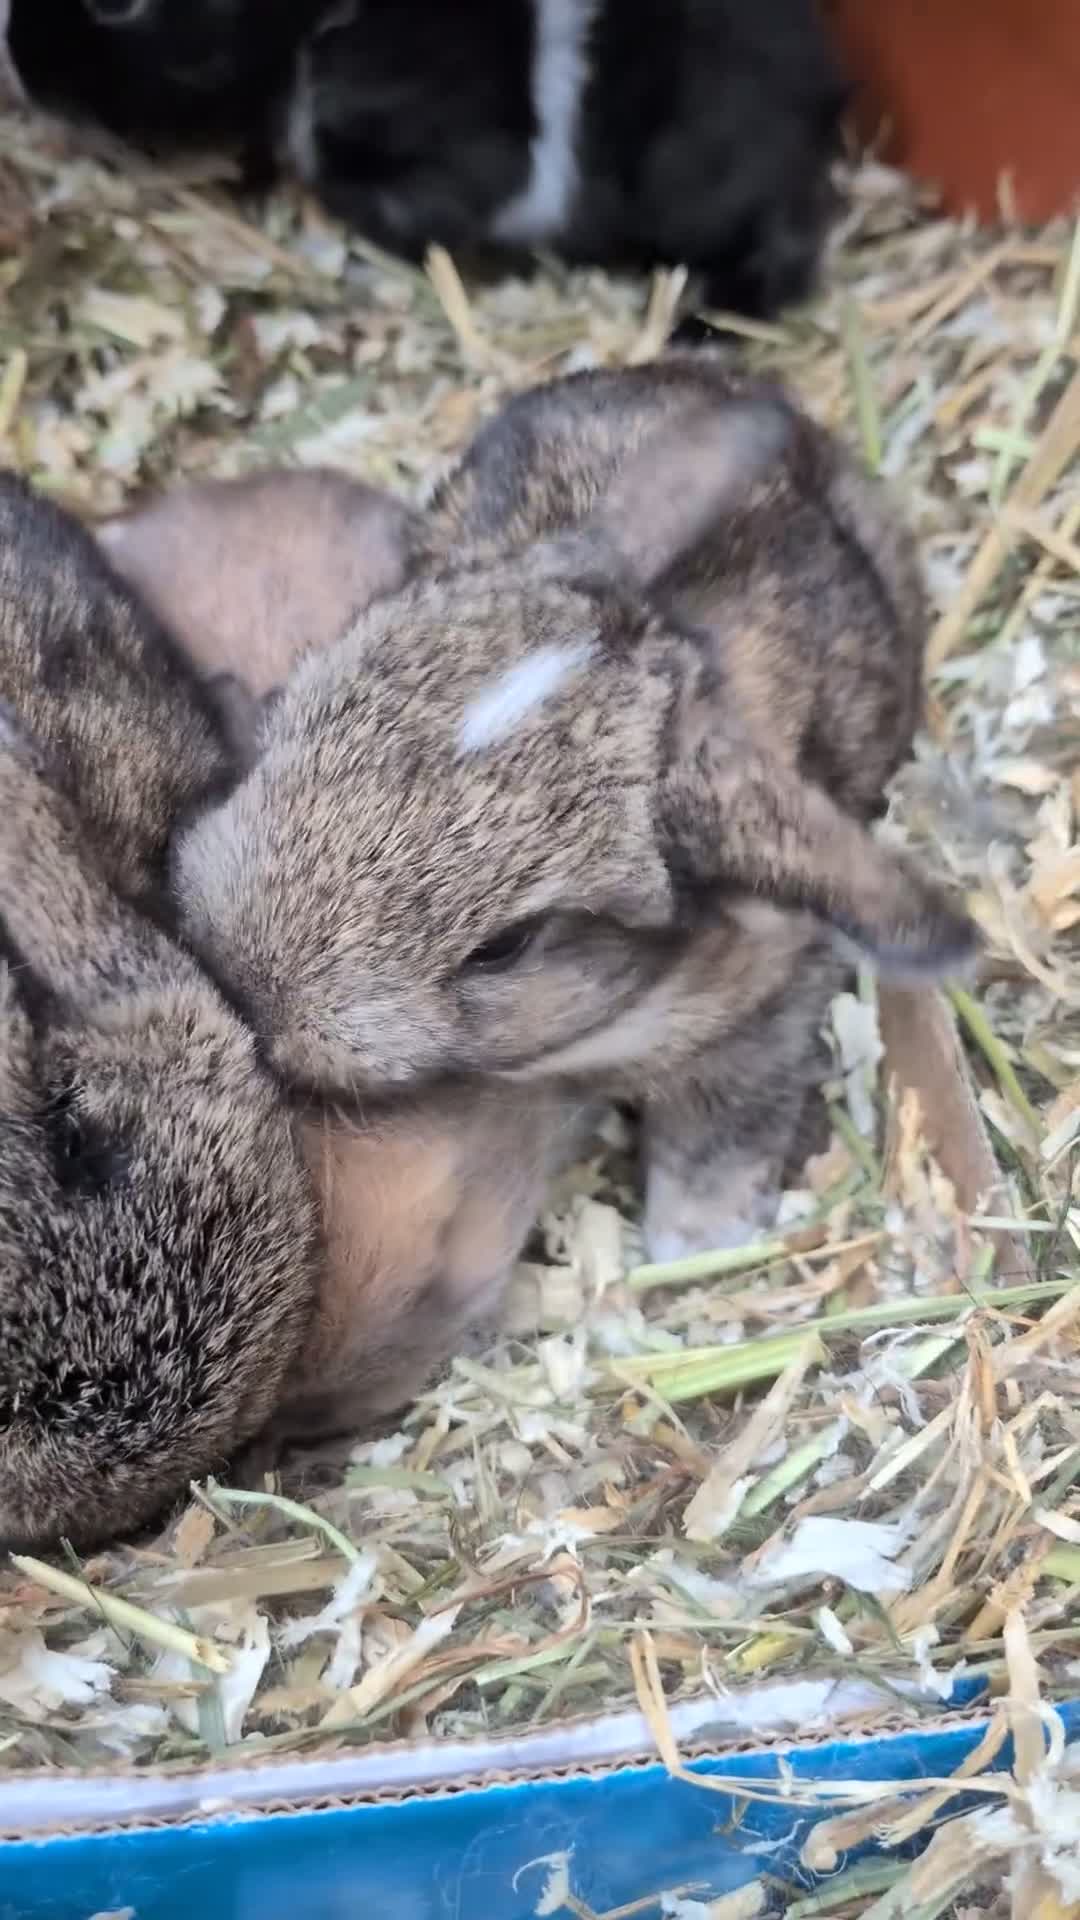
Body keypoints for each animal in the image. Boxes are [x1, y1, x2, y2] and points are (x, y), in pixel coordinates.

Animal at [171, 356, 976, 1263]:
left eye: (505, 948)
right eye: (301, 707)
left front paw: (696, 1241)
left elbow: (725, 1123)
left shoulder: (766, 1012)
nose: (250, 988)